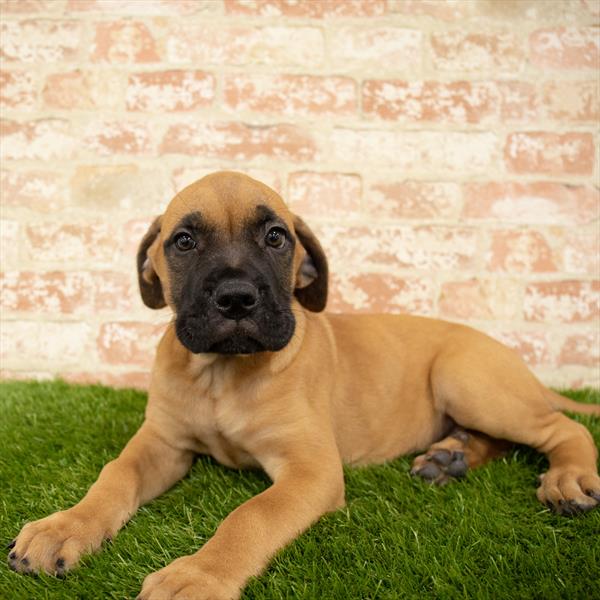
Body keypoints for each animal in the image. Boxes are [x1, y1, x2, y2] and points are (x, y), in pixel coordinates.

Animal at [8, 171, 600, 596]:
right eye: (184, 241)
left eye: (276, 238)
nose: (237, 298)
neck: (224, 374)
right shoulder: (161, 442)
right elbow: (114, 476)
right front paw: (64, 527)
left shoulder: (310, 471)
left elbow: (250, 516)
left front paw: (196, 576)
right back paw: (449, 457)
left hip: (467, 380)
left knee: (563, 428)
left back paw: (567, 477)